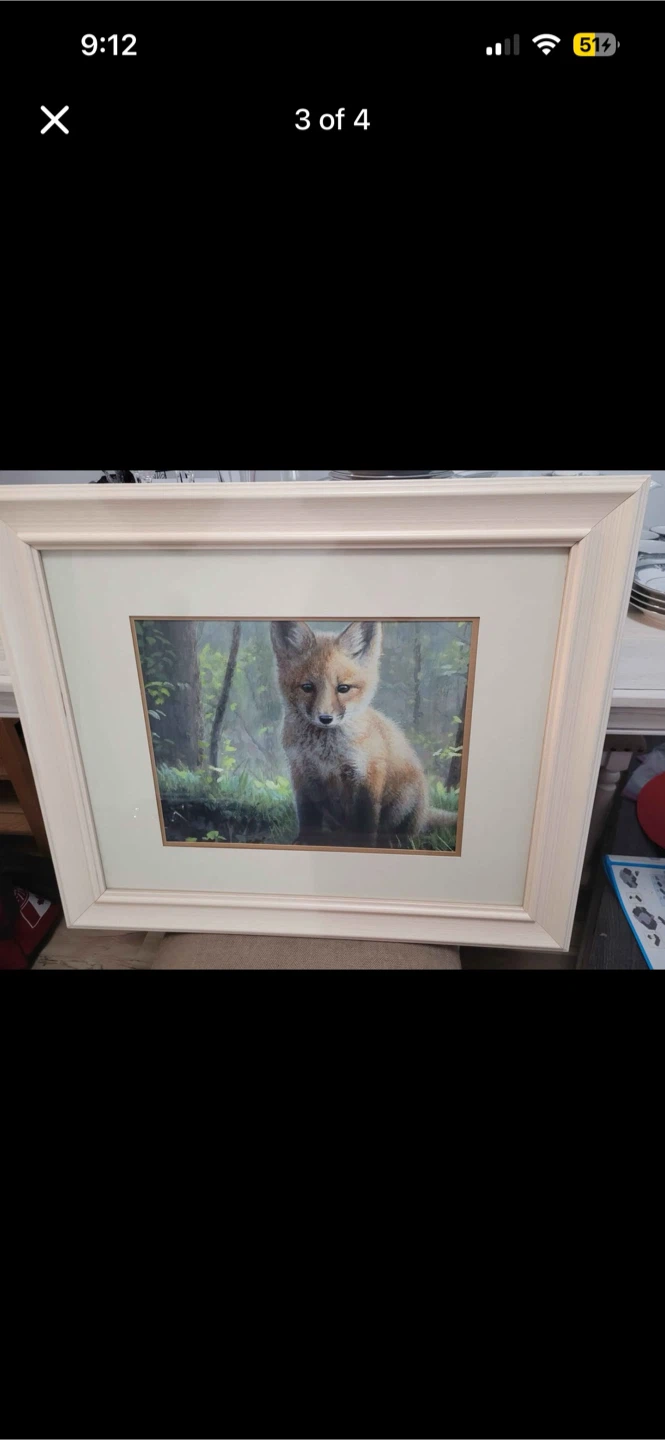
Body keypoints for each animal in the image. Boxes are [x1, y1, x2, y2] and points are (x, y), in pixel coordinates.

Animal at [270, 620, 457, 847]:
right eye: (307, 687)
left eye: (343, 688)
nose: (325, 718)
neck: (326, 754)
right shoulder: (302, 774)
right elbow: (307, 816)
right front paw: (305, 842)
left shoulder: (366, 776)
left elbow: (365, 822)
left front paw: (362, 846)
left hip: (405, 805)